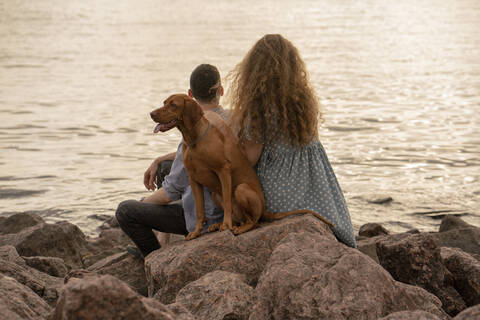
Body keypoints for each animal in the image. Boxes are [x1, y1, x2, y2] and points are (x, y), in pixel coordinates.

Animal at [151, 94, 334, 241]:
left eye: (173, 105)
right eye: (164, 102)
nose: (151, 113)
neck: (194, 141)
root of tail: (265, 209)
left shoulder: (223, 171)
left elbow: (227, 202)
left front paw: (226, 225)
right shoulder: (193, 179)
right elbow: (199, 210)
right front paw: (196, 232)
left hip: (241, 189)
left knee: (253, 222)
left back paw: (236, 227)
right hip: (216, 195)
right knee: (242, 218)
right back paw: (217, 225)